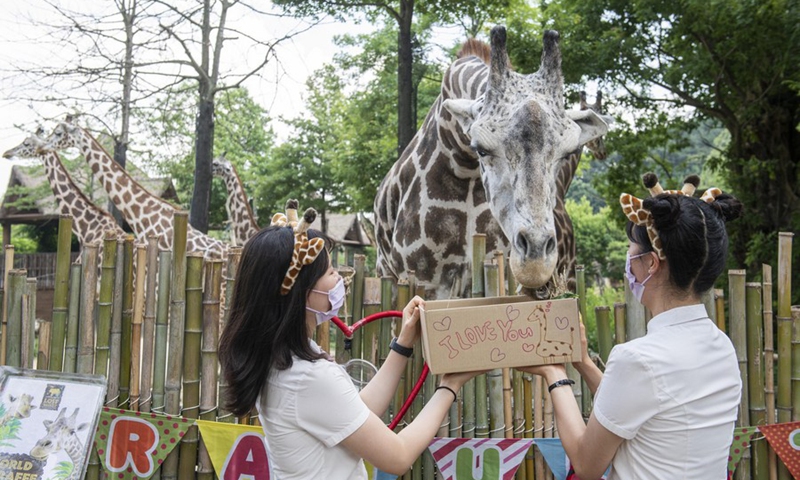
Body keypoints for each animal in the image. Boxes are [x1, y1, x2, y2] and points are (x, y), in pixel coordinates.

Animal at [374, 27, 610, 299]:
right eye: (481, 149)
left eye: (567, 152)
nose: (535, 262)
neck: (463, 166)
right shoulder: (424, 279)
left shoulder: (500, 275)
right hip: (385, 274)